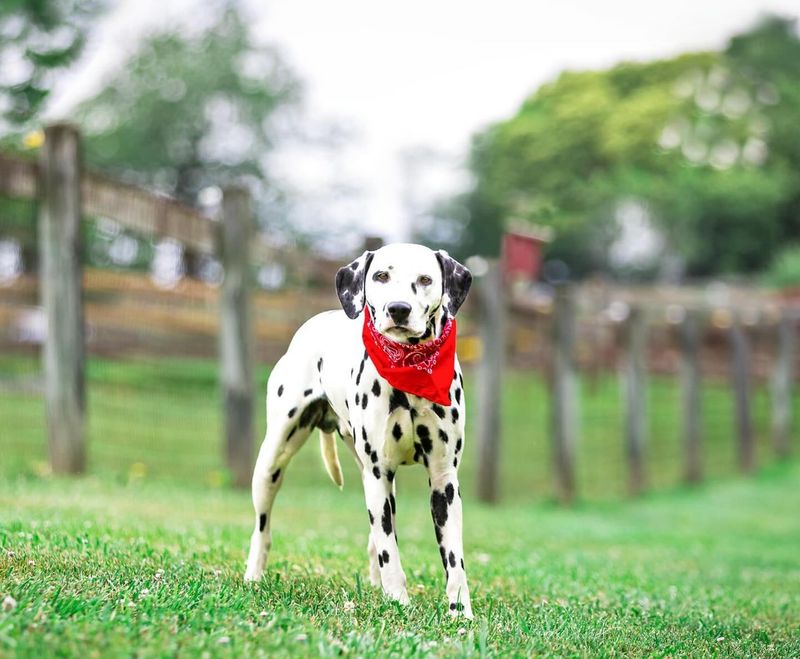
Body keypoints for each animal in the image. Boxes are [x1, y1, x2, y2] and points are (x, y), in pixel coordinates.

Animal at [244, 243, 474, 618]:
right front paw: (398, 602)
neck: (408, 369)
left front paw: (459, 612)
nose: (398, 308)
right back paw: (254, 573)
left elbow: (453, 558)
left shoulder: (444, 482)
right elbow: (390, 553)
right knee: (262, 527)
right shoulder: (378, 474)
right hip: (271, 464)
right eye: (381, 275)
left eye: (425, 279)